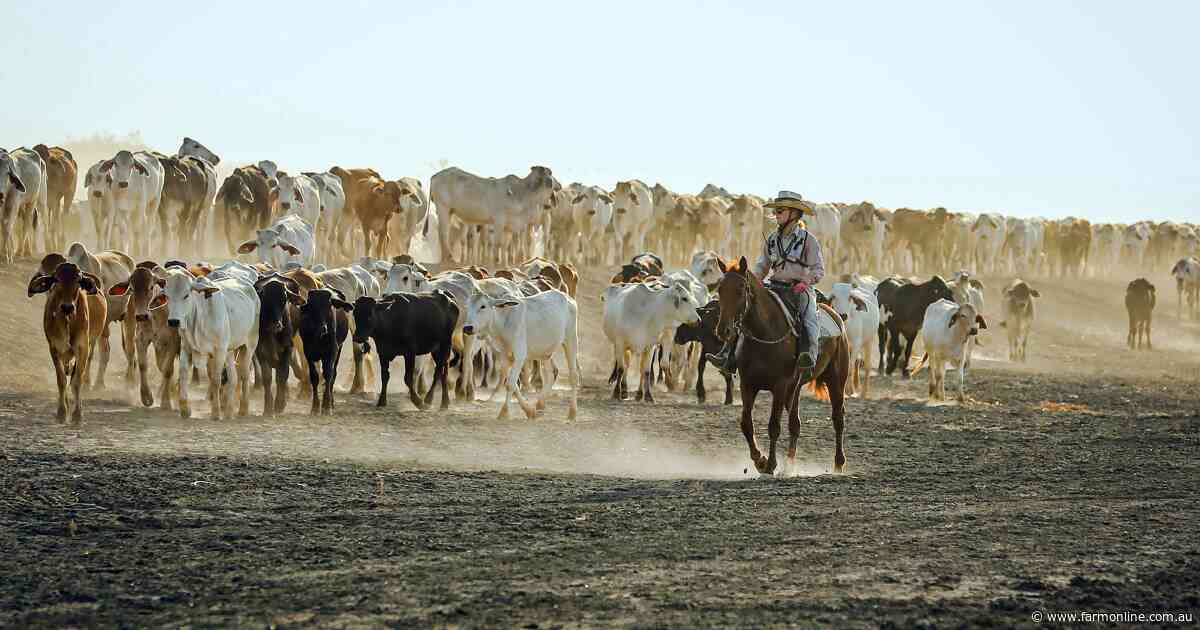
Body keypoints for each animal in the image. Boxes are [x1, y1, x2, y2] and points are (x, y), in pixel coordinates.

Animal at [28, 262, 106, 424]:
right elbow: (61, 380)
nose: (67, 307)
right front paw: (62, 412)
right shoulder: (54, 348)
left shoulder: (83, 348)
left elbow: (76, 381)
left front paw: (77, 414)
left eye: (78, 280)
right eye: (56, 280)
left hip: (91, 342)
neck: (67, 321)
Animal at [152, 268, 261, 419]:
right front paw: (185, 409)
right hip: (229, 350)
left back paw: (243, 409)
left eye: (186, 295)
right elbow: (183, 374)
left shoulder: (219, 350)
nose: (174, 321)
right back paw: (228, 411)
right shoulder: (186, 347)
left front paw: (215, 412)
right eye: (167, 296)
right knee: (233, 377)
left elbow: (215, 379)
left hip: (249, 345)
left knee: (244, 374)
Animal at [462, 289, 581, 420]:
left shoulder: (520, 356)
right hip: (545, 352)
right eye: (467, 307)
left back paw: (572, 412)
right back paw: (540, 404)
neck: (503, 321)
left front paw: (504, 412)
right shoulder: (505, 357)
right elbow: (513, 384)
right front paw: (529, 411)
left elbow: (510, 384)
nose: (467, 328)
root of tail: (567, 297)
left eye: (483, 306)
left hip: (571, 340)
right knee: (552, 374)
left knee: (573, 376)